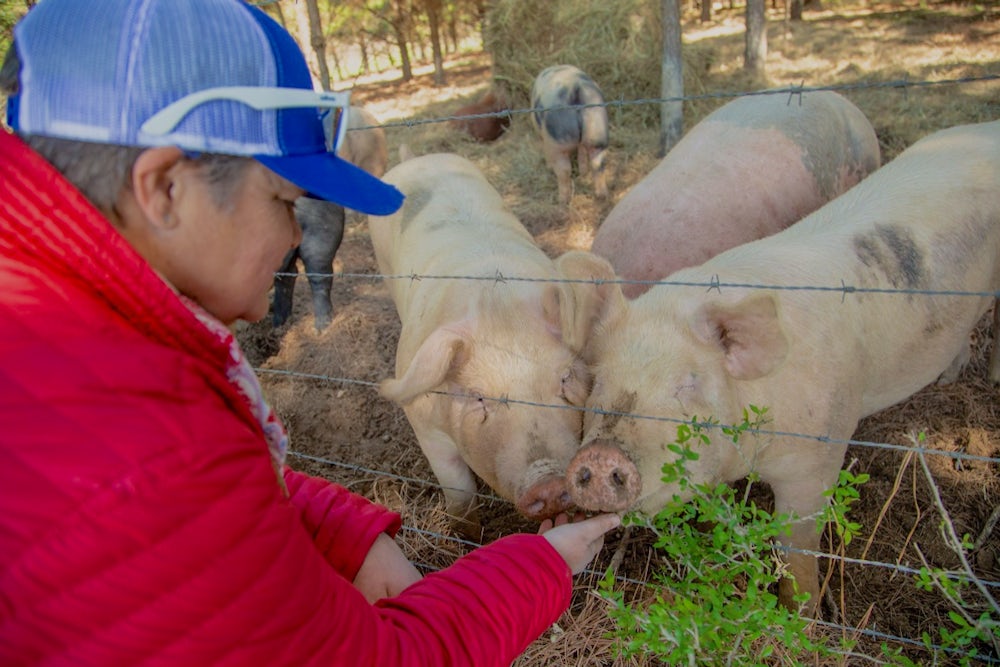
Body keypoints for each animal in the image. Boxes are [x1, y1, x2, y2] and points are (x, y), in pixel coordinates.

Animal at [370, 151, 600, 532]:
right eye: (479, 397)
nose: (548, 481)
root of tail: (419, 157)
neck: (497, 305)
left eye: (565, 378)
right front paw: (467, 534)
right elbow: (460, 495)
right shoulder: (425, 428)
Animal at [532, 66, 608, 206]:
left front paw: (548, 166)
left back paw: (562, 200)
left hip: (558, 140)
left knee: (564, 170)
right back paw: (601, 195)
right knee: (597, 163)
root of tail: (575, 89)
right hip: (597, 131)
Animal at [556, 120, 1000, 616]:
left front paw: (802, 617)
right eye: (600, 382)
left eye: (688, 384)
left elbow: (797, 549)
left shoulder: (818, 457)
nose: (600, 455)